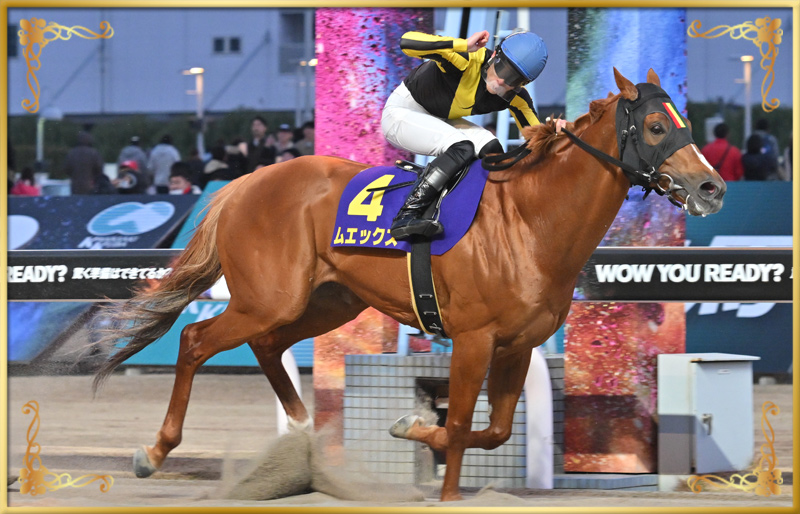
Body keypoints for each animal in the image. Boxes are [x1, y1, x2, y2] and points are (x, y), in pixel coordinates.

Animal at [92, 68, 725, 502]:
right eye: (655, 126)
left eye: (688, 125)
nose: (712, 187)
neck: (530, 219)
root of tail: (245, 182)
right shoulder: (473, 339)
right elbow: (464, 424)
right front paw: (440, 479)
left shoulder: (516, 345)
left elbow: (494, 430)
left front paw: (412, 426)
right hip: (268, 298)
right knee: (196, 339)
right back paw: (155, 451)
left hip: (326, 302)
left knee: (266, 346)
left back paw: (303, 439)